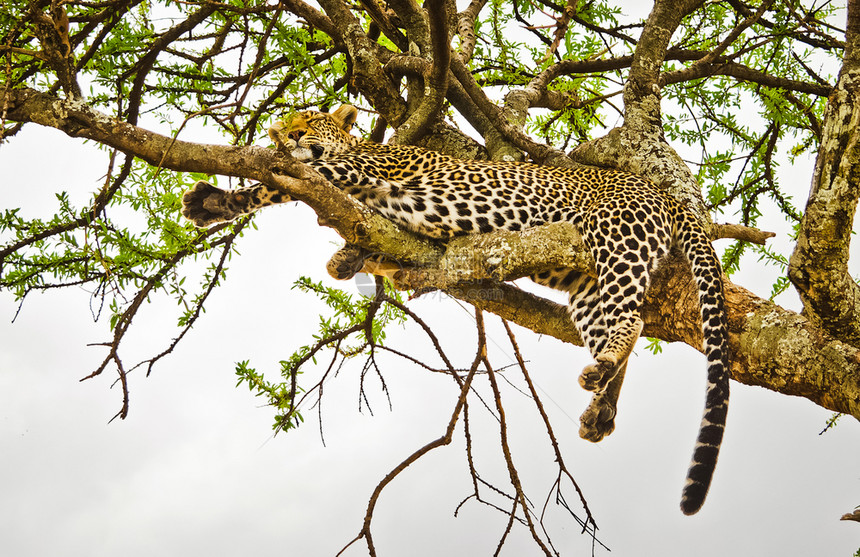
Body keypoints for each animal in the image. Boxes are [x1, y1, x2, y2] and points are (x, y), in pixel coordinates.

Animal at [183, 103, 732, 512]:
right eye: (285, 128)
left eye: (310, 121)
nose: (290, 135)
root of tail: (656, 189)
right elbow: (369, 250)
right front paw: (346, 258)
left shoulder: (348, 169)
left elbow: (272, 180)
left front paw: (213, 201)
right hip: (585, 282)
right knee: (623, 323)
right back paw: (601, 401)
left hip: (616, 239)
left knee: (630, 317)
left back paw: (606, 374)